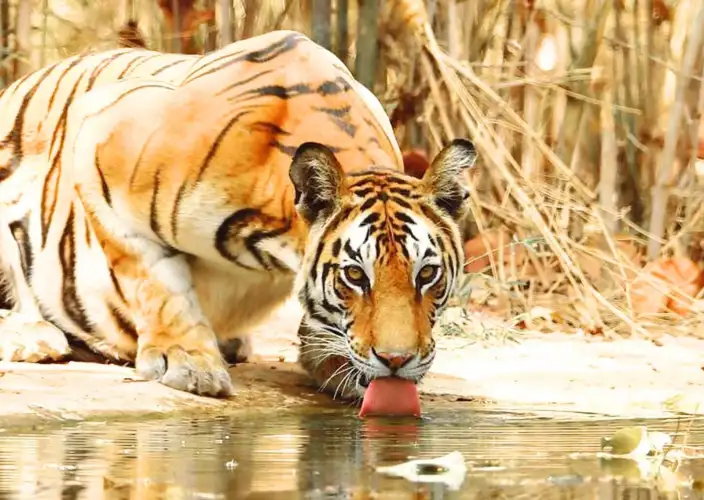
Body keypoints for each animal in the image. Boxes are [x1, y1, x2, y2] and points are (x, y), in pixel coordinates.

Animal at [0, 30, 477, 399]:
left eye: (427, 274)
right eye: (355, 276)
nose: (397, 361)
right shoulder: (100, 133)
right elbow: (153, 279)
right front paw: (186, 362)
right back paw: (34, 336)